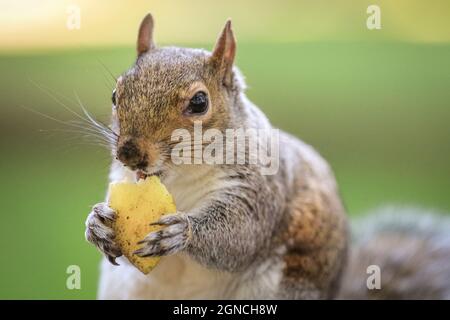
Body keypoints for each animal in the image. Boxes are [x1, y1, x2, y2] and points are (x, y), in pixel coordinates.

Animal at [84, 13, 450, 298]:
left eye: (199, 102)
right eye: (116, 94)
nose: (130, 153)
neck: (178, 178)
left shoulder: (260, 187)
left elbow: (241, 234)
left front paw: (182, 231)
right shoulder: (121, 178)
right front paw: (96, 223)